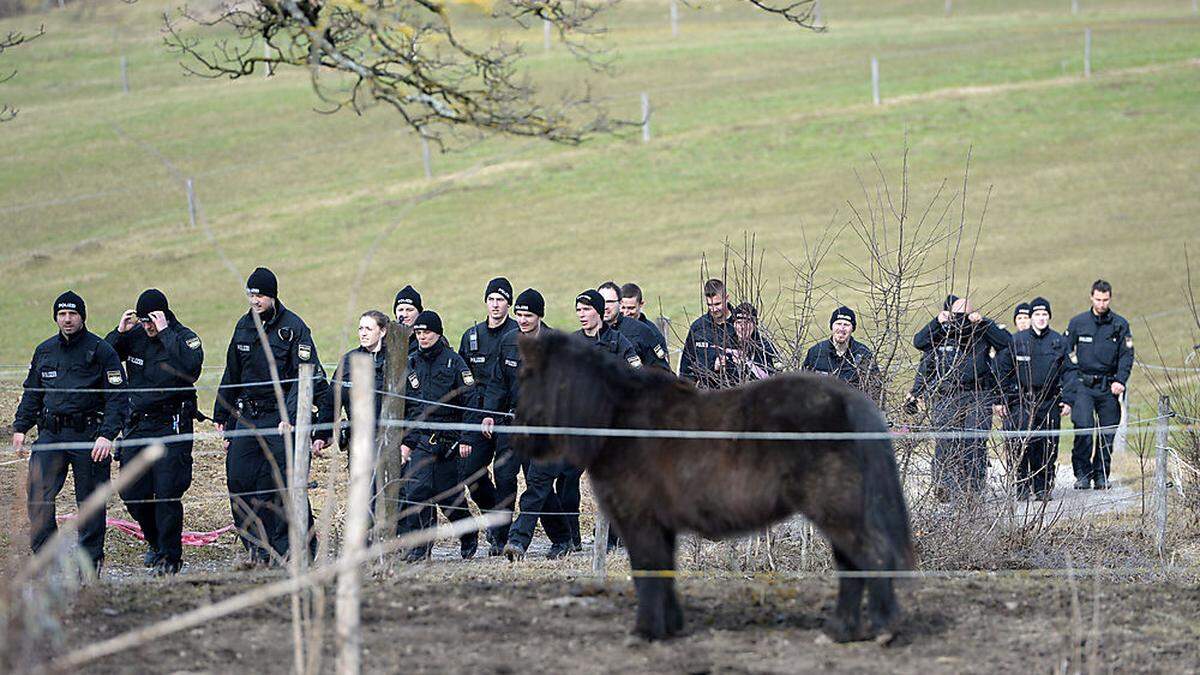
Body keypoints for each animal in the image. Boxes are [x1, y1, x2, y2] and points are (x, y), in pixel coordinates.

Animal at [511, 331, 912, 638]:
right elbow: (663, 572)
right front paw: (670, 627)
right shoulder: (661, 526)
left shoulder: (640, 522)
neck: (618, 421)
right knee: (853, 567)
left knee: (874, 557)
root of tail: (849, 401)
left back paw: (884, 629)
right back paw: (842, 630)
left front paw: (647, 631)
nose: (518, 438)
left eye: (527, 377)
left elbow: (648, 571)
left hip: (837, 511)